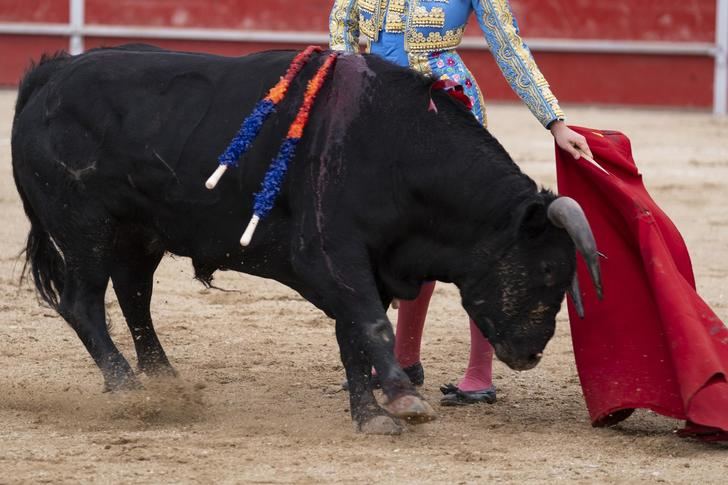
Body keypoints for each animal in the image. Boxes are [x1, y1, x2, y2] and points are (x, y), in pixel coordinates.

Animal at [12, 44, 604, 432]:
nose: (531, 353)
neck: (397, 149)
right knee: (83, 302)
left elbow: (353, 335)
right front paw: (403, 400)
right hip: (83, 227)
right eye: (547, 269)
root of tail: (50, 75)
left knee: (135, 298)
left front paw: (369, 415)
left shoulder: (370, 264)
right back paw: (129, 388)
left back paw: (165, 383)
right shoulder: (331, 253)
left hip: (140, 234)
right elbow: (371, 325)